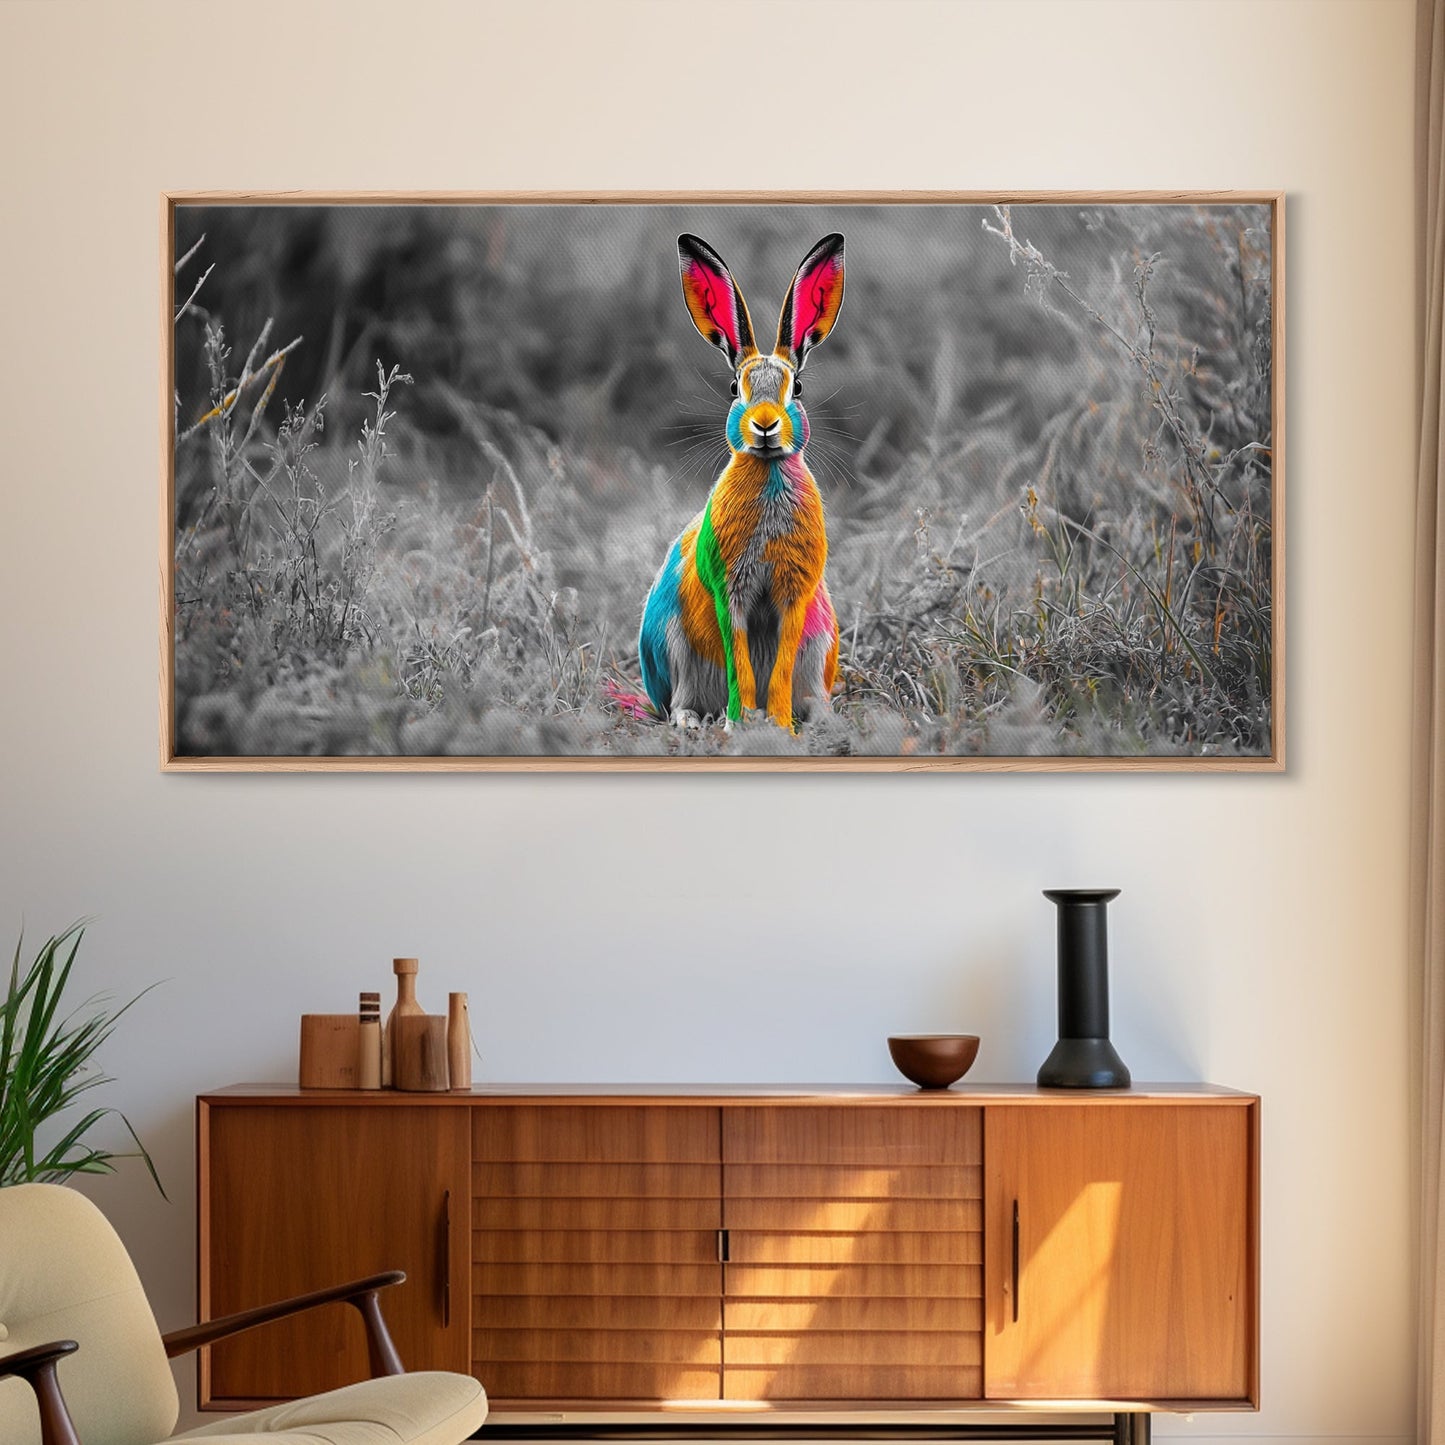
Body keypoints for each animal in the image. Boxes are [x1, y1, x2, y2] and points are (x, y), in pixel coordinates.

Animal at [638, 232, 845, 731]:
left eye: (798, 389)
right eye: (735, 388)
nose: (765, 426)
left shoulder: (796, 597)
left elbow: (782, 661)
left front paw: (780, 724)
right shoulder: (730, 590)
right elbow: (740, 660)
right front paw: (740, 723)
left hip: (822, 638)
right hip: (672, 645)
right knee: (679, 701)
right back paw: (694, 721)